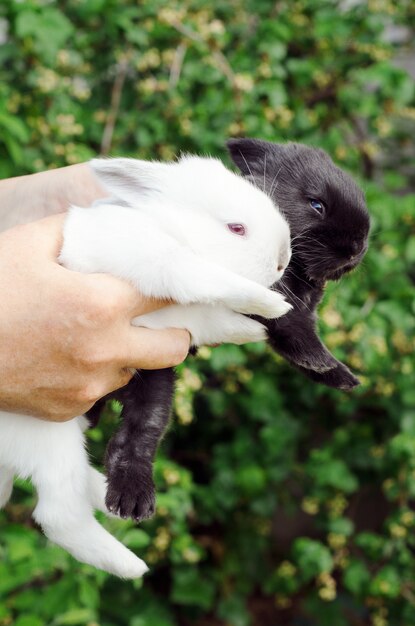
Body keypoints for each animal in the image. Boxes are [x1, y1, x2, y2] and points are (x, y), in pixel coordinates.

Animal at [0, 155, 292, 576]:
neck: (166, 227)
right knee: (58, 514)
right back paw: (130, 565)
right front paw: (270, 304)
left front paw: (254, 329)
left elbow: (216, 319)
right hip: (49, 436)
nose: (283, 262)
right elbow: (202, 274)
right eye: (236, 228)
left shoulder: (188, 319)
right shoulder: (160, 261)